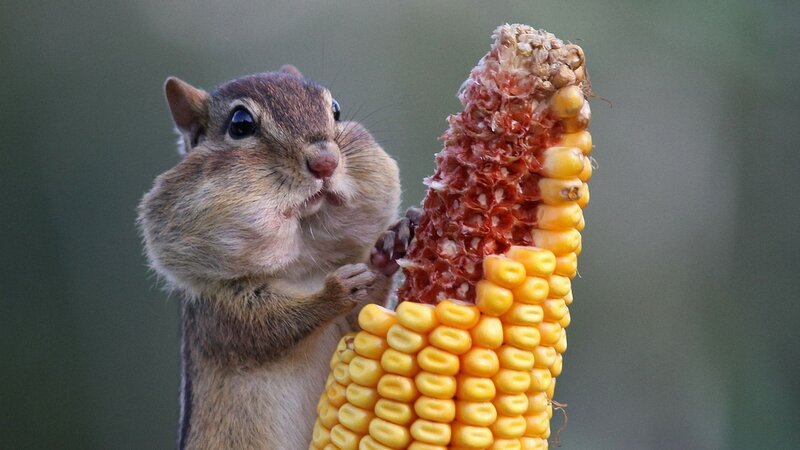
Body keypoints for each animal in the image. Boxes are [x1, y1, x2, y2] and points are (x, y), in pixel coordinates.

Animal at [138, 65, 418, 450]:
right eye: (240, 124)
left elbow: (365, 318)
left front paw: (391, 242)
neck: (303, 266)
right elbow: (269, 327)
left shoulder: (353, 325)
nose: (326, 162)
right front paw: (335, 292)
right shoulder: (219, 311)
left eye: (336, 109)